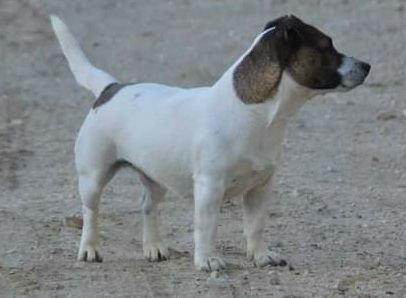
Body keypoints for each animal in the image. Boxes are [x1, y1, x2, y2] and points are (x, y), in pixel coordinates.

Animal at [50, 14, 372, 272]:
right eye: (327, 46)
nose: (367, 65)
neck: (252, 112)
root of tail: (110, 88)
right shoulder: (209, 188)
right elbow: (207, 228)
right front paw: (206, 260)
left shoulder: (260, 187)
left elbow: (255, 226)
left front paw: (260, 256)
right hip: (93, 178)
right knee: (91, 213)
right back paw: (89, 249)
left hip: (156, 177)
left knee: (148, 206)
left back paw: (153, 247)